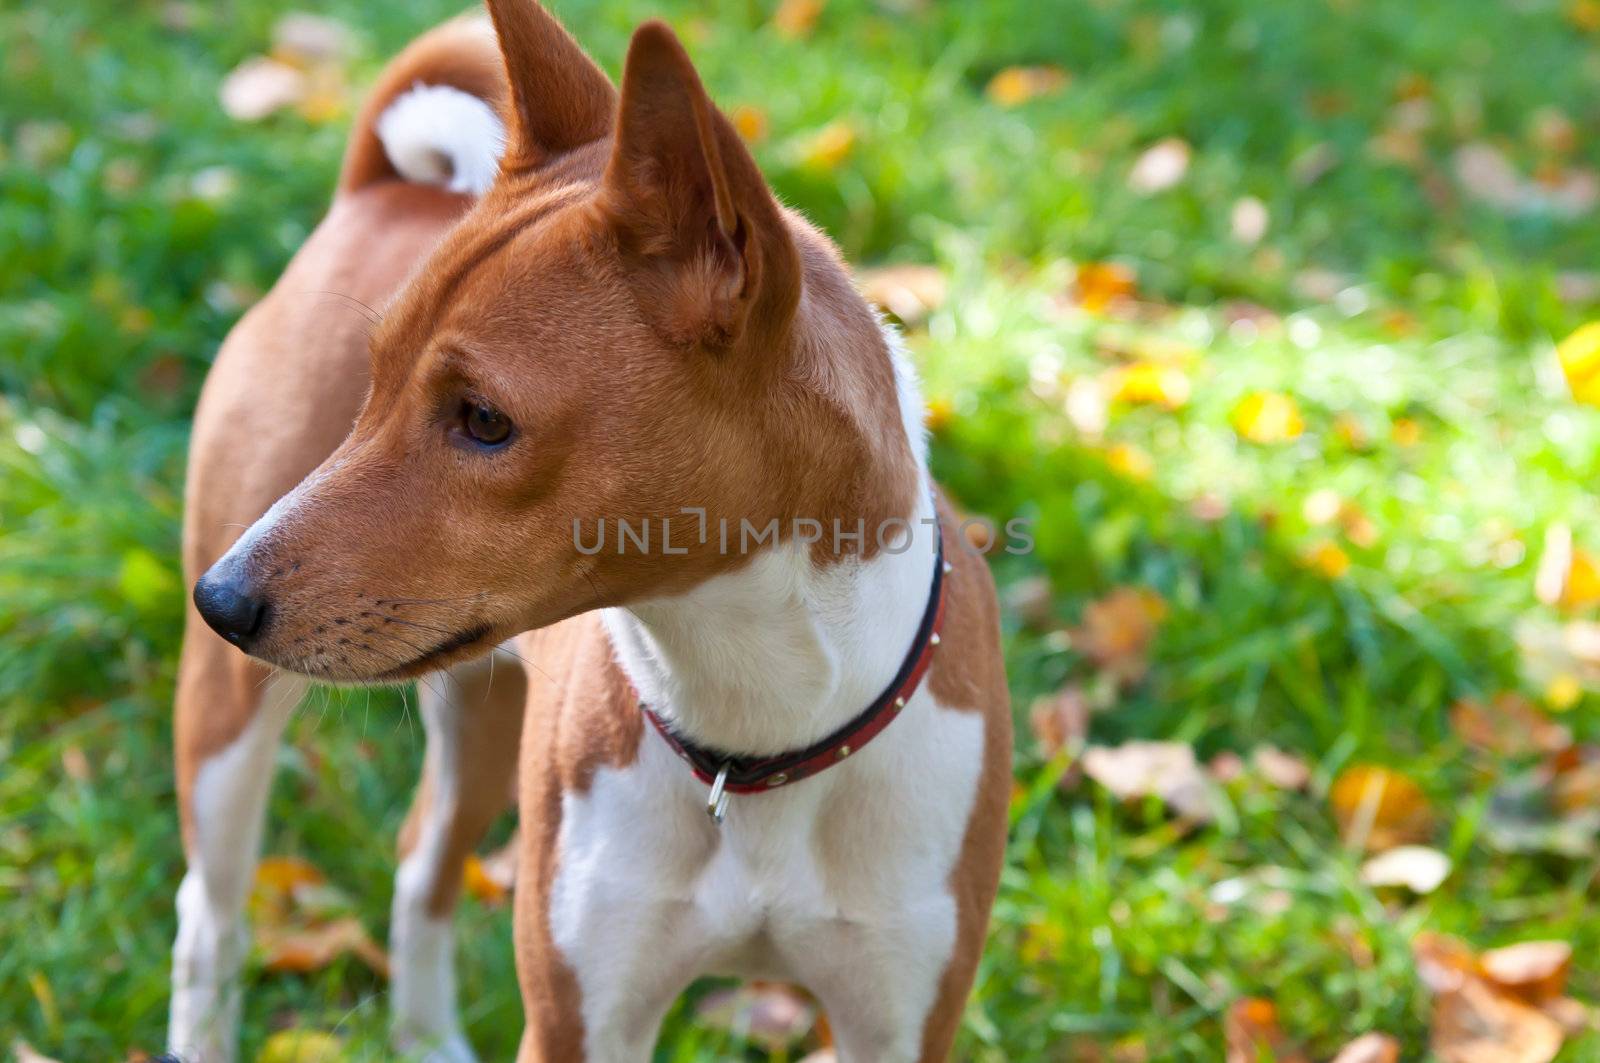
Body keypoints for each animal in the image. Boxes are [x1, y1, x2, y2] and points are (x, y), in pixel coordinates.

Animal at [168, 4, 1004, 1056]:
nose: (221, 599)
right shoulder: (580, 1022)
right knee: (211, 915)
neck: (757, 738)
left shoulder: (899, 1020)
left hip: (481, 710)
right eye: (374, 380)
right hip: (230, 731)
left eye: (484, 419)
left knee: (420, 863)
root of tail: (381, 189)